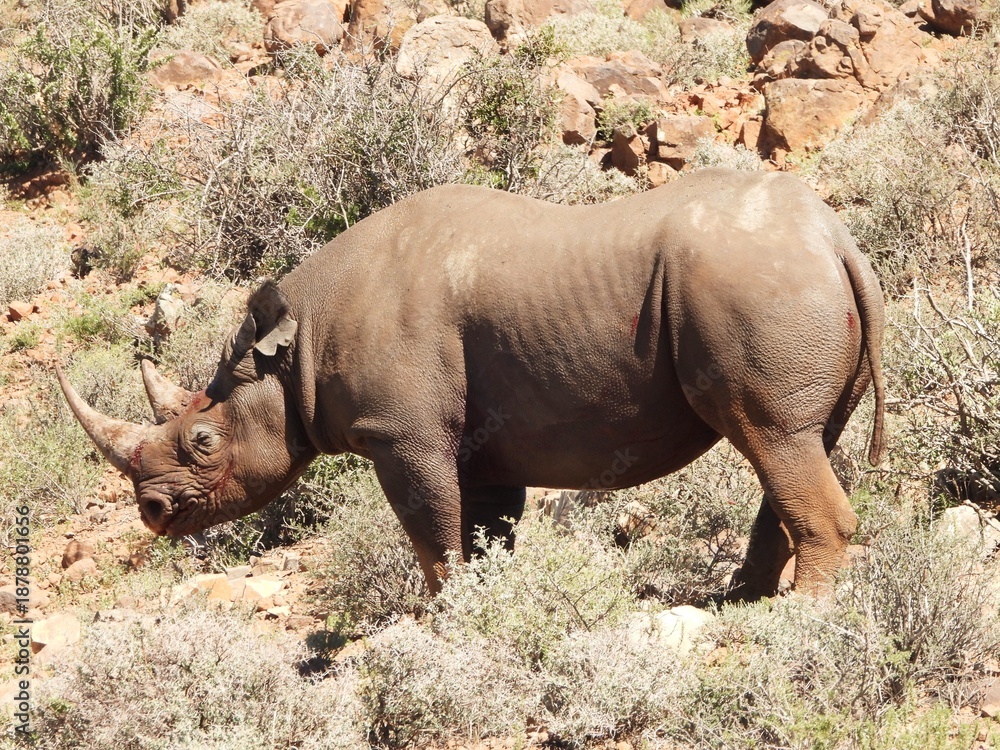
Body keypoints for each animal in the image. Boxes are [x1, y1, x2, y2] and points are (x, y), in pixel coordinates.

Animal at [59, 168, 885, 601]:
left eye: (202, 441)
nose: (153, 512)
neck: (297, 343)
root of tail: (836, 239)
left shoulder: (401, 434)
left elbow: (432, 535)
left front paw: (444, 618)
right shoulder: (485, 448)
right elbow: (485, 533)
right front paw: (489, 610)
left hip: (751, 283)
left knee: (773, 438)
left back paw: (799, 620)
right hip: (777, 284)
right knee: (794, 444)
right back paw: (741, 602)